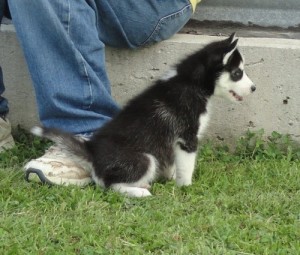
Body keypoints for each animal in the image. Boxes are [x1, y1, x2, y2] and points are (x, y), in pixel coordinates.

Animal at [30, 33, 255, 197]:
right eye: (237, 73)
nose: (254, 88)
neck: (190, 82)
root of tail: (92, 151)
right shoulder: (186, 138)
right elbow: (186, 167)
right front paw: (186, 187)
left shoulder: (173, 143)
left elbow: (173, 163)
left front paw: (171, 178)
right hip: (144, 158)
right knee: (110, 186)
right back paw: (140, 191)